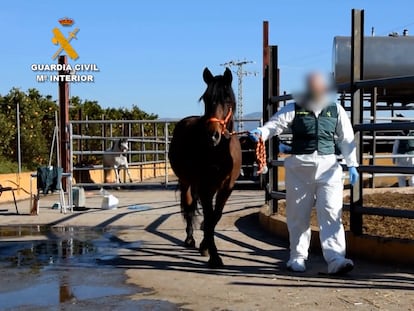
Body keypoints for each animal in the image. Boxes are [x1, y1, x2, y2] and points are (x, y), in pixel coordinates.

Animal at [169, 68, 243, 268]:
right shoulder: (204, 187)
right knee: (188, 207)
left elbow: (215, 217)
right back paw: (190, 239)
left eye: (228, 99)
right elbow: (208, 217)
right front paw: (214, 256)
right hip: (186, 182)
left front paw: (206, 247)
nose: (213, 136)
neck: (218, 152)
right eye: (205, 99)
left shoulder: (226, 188)